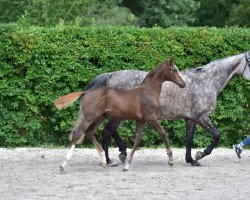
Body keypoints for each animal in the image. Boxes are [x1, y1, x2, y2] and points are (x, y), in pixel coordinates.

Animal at [55, 58, 187, 172]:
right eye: (174, 70)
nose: (183, 84)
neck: (147, 92)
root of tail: (86, 92)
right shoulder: (151, 118)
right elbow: (164, 133)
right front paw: (171, 160)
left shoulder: (141, 120)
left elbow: (137, 140)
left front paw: (127, 165)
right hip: (90, 117)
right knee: (78, 133)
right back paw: (63, 165)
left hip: (100, 117)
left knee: (90, 132)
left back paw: (104, 160)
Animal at [86, 51, 250, 166]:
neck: (206, 81)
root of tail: (111, 75)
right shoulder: (202, 117)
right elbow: (217, 135)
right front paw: (200, 155)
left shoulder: (191, 118)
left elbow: (189, 139)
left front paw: (191, 159)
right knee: (107, 132)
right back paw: (110, 159)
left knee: (110, 132)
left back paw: (121, 153)